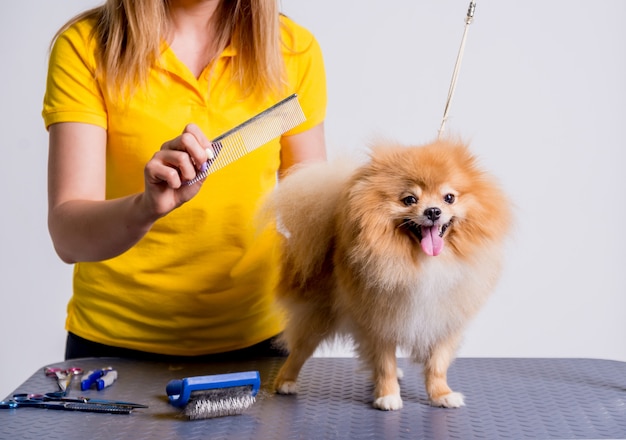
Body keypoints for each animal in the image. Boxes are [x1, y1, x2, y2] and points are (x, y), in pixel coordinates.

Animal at [260, 139, 510, 410]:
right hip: (317, 316)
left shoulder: (444, 319)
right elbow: (384, 364)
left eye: (449, 198)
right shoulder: (378, 320)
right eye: (410, 199)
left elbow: (437, 364)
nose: (433, 211)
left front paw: (441, 394)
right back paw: (286, 381)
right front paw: (388, 396)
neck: (422, 262)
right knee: (299, 349)